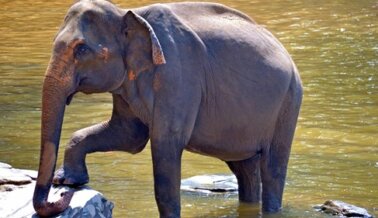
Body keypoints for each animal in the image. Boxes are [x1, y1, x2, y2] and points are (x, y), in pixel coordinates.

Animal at [33, 0, 304, 217]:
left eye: (81, 49)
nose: (62, 195)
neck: (128, 12)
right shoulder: (127, 82)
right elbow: (128, 136)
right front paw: (69, 179)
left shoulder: (178, 75)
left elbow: (165, 143)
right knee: (245, 168)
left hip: (289, 102)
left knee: (272, 168)